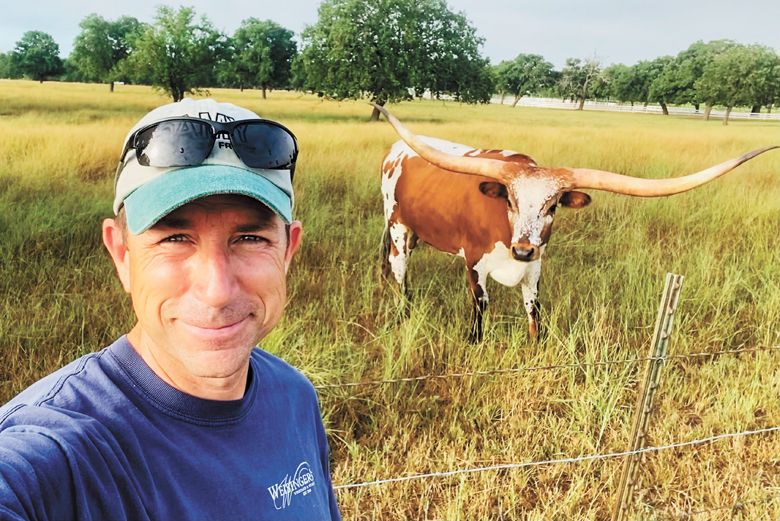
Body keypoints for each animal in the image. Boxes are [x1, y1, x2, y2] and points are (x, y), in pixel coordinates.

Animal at [376, 104, 772, 342]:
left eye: (553, 206)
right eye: (510, 200)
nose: (523, 249)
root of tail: (396, 150)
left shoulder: (536, 266)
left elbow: (534, 308)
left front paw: (536, 345)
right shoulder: (475, 262)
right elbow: (480, 304)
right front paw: (475, 341)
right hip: (397, 228)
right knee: (400, 273)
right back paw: (403, 312)